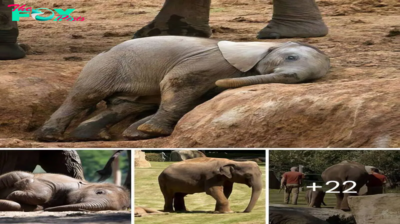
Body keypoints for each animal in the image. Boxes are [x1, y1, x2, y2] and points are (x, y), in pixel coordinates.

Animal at [36, 36, 332, 143]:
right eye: (291, 57)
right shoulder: (207, 63)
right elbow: (179, 83)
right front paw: (149, 132)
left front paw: (139, 133)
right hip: (104, 66)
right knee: (84, 96)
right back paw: (49, 137)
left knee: (126, 105)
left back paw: (95, 137)